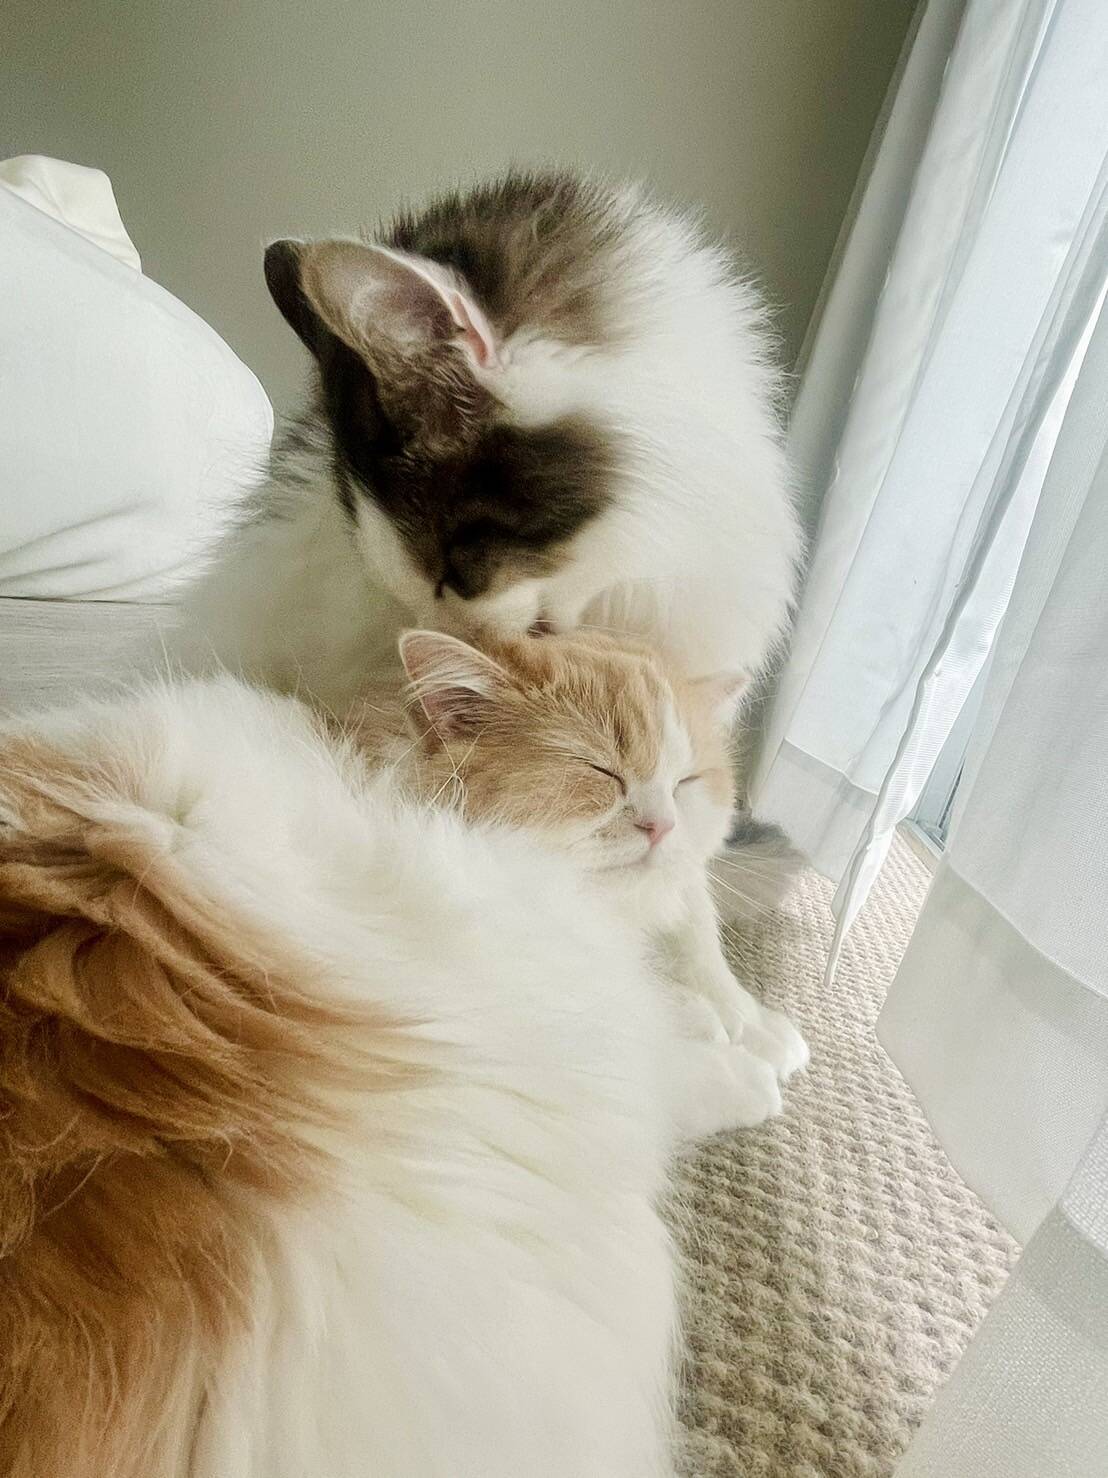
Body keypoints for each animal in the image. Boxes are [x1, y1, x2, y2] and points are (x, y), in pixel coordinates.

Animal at [0, 675, 786, 1478]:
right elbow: (669, 1068)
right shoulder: (556, 1015)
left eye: (687, 780)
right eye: (599, 772)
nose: (664, 826)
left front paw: (734, 1020)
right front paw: (751, 1069)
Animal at [350, 625, 808, 1078]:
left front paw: (751, 1021)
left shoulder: (685, 888)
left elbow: (703, 949)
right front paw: (700, 1020)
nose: (661, 825)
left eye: (685, 781)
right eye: (601, 771)